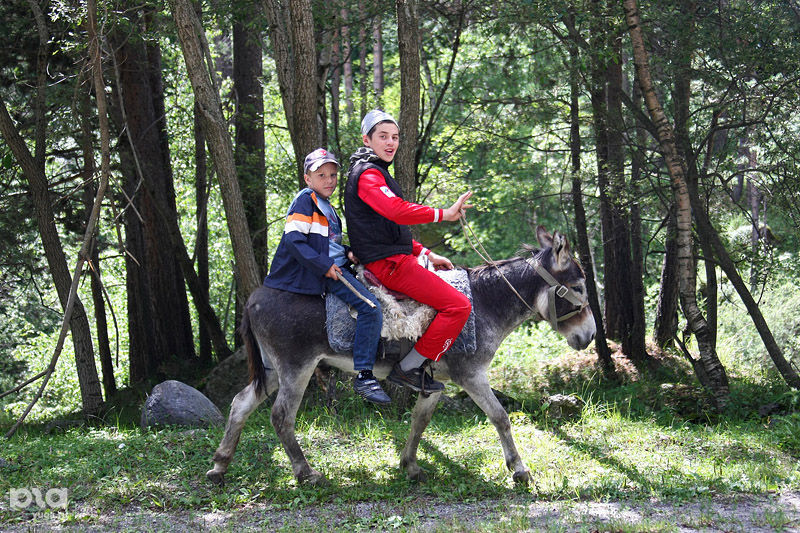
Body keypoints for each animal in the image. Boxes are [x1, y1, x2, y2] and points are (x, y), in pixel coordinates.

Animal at [206, 226, 596, 486]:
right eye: (578, 287)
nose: (591, 336)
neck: (485, 302)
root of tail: (254, 298)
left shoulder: (434, 382)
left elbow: (419, 422)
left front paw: (409, 465)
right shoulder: (471, 375)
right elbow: (500, 417)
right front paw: (519, 470)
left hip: (272, 370)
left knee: (241, 404)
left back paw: (219, 466)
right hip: (295, 368)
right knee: (281, 416)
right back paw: (305, 473)